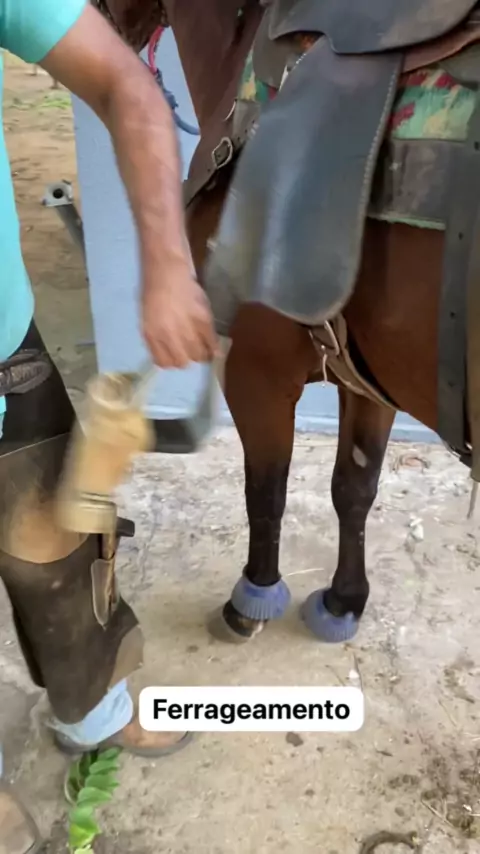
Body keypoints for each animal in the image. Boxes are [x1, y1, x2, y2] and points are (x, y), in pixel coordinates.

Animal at [97, 0, 480, 644]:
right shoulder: (366, 382)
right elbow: (354, 488)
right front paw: (344, 602)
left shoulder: (255, 368)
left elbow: (266, 489)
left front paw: (251, 599)